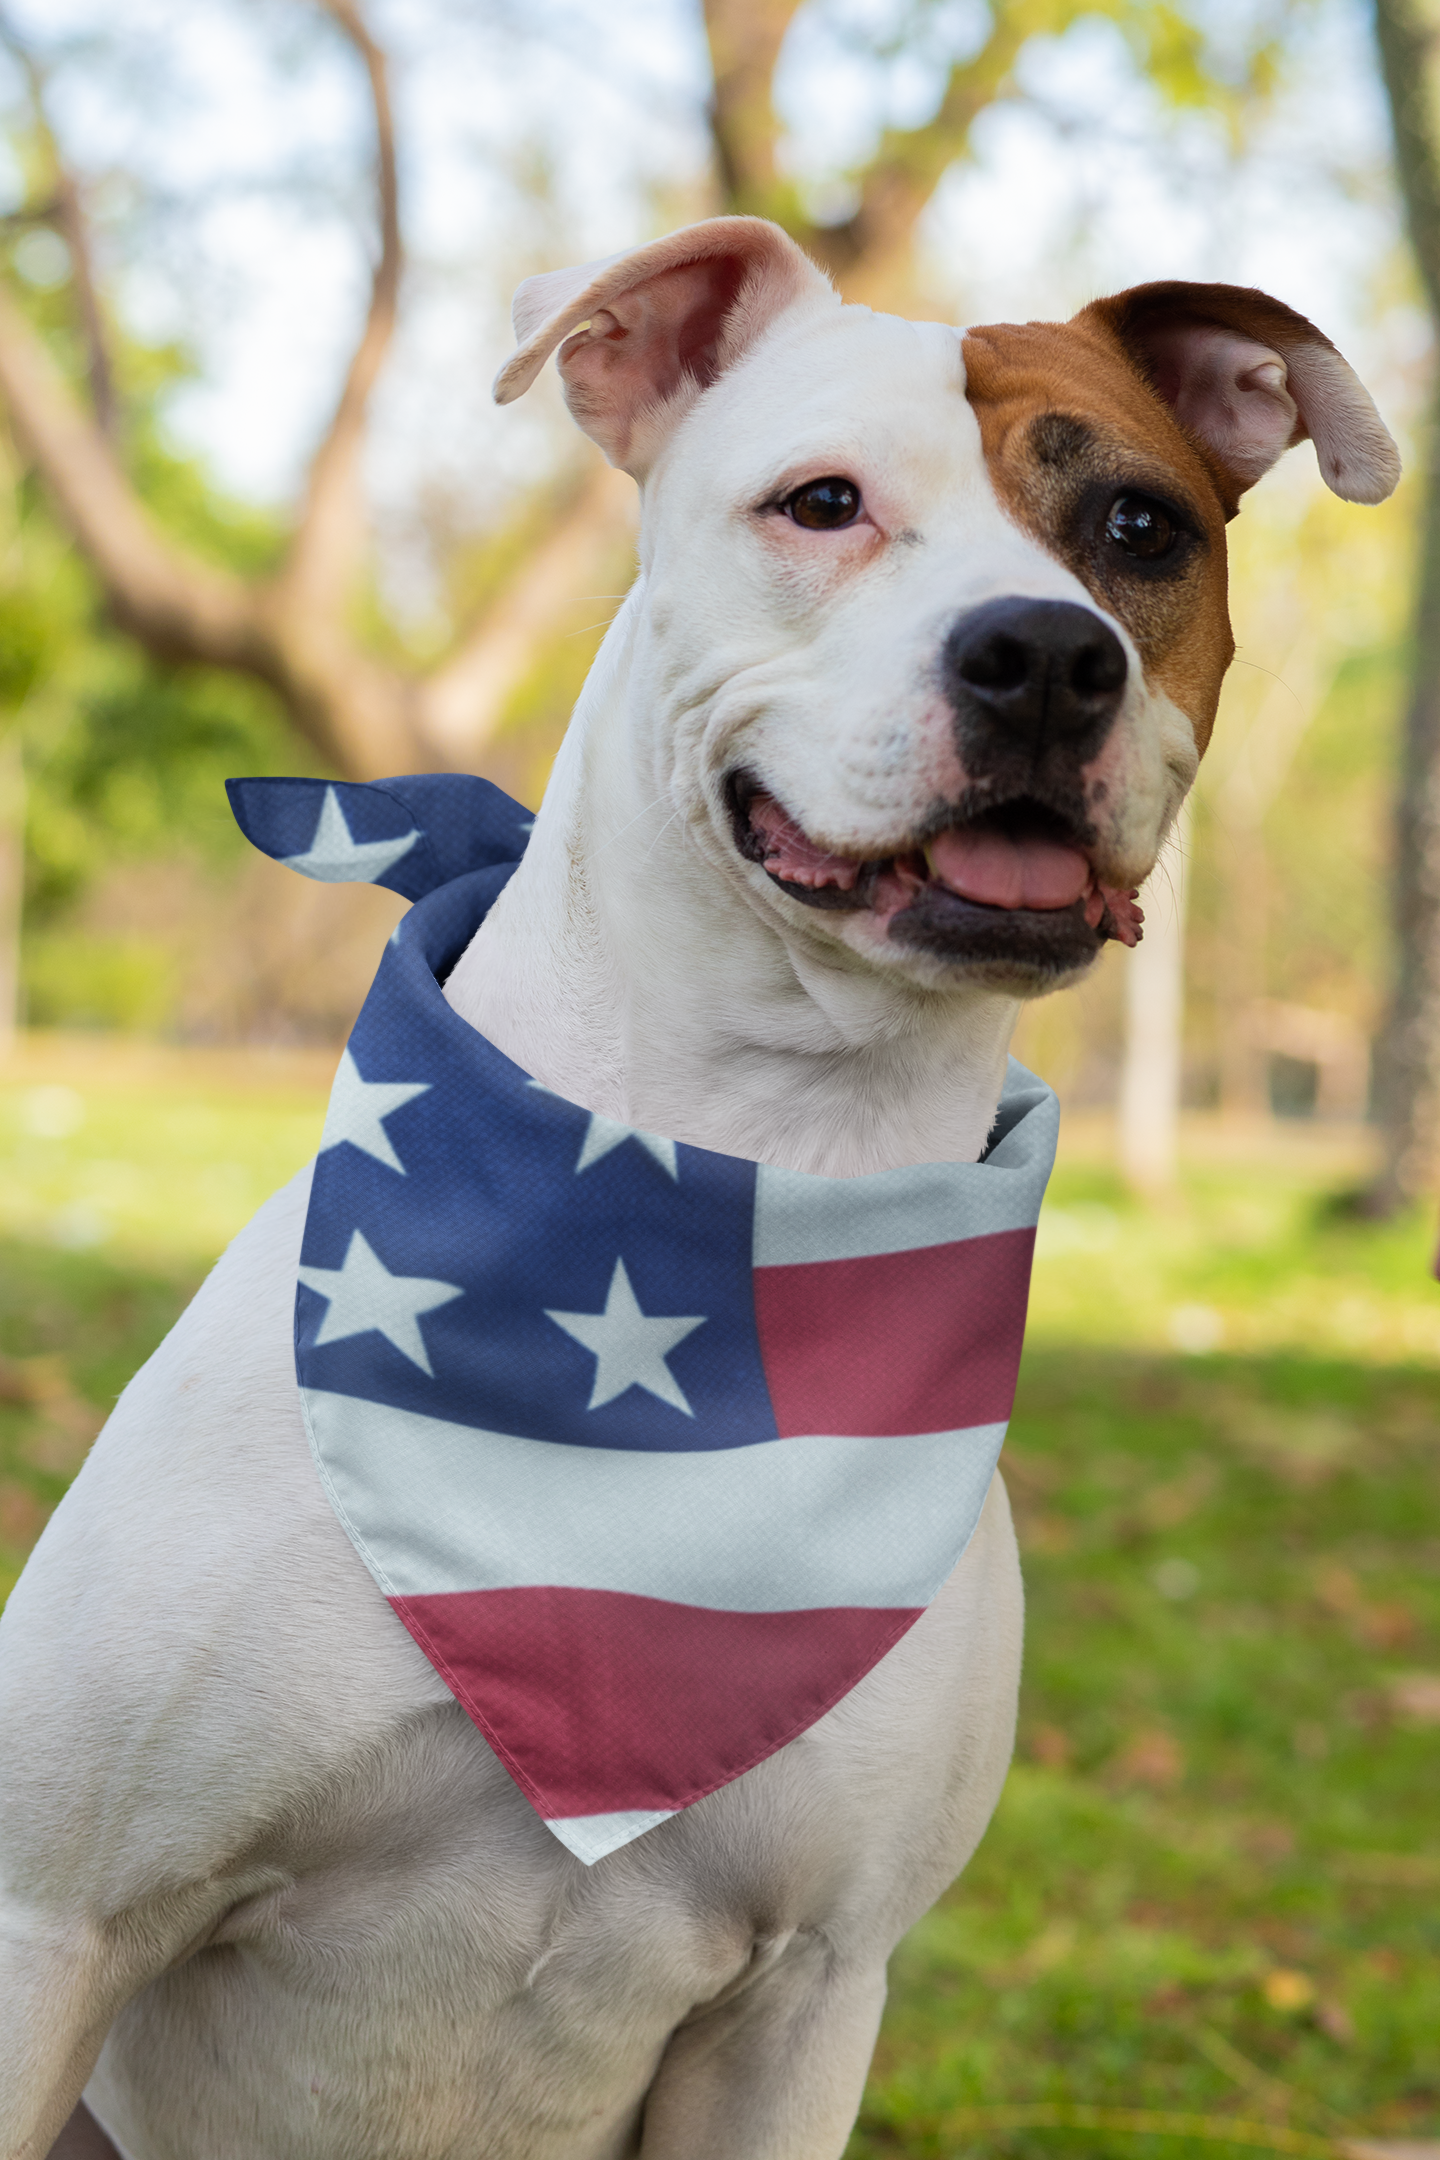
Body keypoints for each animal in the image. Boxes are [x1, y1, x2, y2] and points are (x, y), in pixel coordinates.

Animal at [0, 219, 1398, 2160]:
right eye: (821, 502)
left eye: (1139, 526)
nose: (1048, 654)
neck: (746, 1157)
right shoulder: (59, 1918)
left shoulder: (807, 1995)